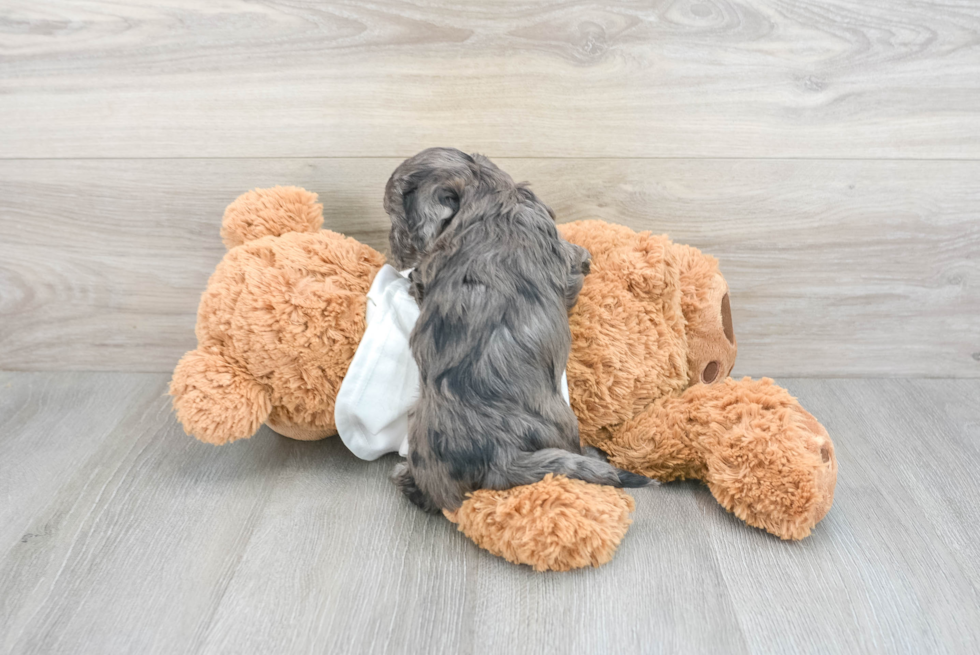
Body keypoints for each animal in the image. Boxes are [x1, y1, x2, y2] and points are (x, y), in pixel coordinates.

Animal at [382, 147, 652, 512]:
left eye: (396, 217)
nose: (393, 250)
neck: (487, 191)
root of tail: (500, 453)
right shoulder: (568, 258)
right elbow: (580, 263)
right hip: (562, 427)